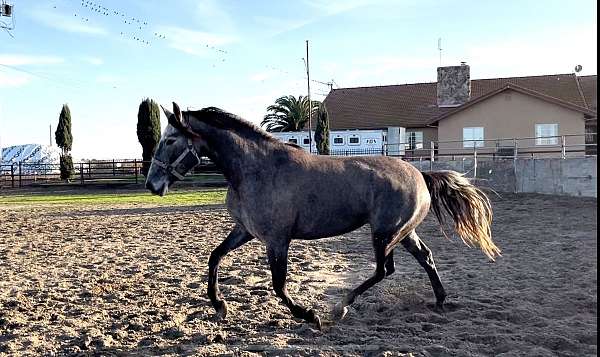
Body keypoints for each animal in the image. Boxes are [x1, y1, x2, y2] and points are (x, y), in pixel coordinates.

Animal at [146, 101, 502, 328]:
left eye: (171, 139)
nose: (152, 184)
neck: (257, 168)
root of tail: (420, 175)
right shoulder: (245, 230)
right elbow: (214, 257)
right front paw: (219, 305)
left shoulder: (277, 240)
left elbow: (278, 285)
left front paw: (310, 315)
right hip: (403, 232)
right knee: (425, 258)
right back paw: (440, 301)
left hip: (384, 233)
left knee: (384, 270)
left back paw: (339, 307)